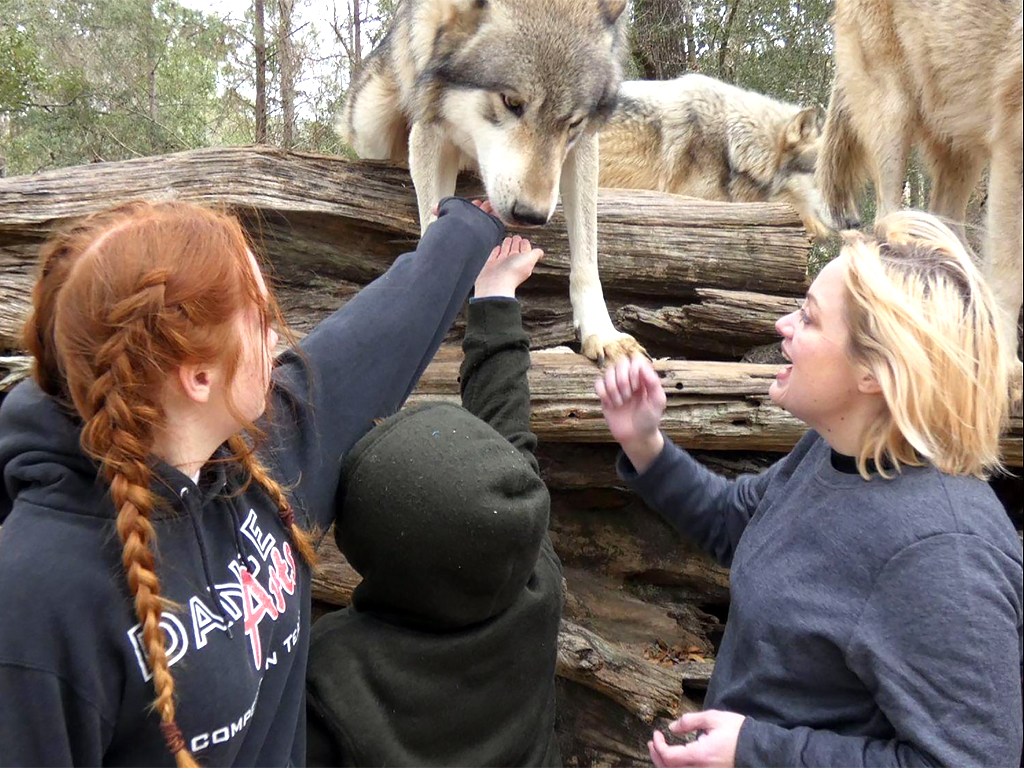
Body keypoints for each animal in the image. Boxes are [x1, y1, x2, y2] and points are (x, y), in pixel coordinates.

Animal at [339, 0, 643, 366]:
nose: (530, 215)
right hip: (371, 122)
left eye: (573, 123)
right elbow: (433, 235)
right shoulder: (430, 127)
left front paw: (602, 332)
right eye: (512, 102)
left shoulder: (585, 142)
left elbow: (586, 255)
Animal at [815, 1, 1024, 403]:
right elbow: (1010, 276)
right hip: (894, 118)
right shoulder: (1012, 146)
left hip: (960, 142)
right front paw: (1009, 372)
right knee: (886, 219)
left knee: (944, 225)